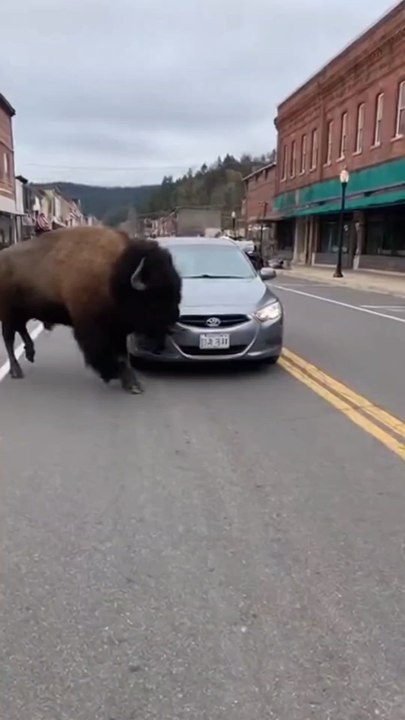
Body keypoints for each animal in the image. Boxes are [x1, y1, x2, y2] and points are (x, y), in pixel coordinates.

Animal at [0, 225, 182, 393]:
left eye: (177, 293)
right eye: (155, 298)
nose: (172, 326)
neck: (114, 274)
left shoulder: (118, 329)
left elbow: (123, 355)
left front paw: (132, 383)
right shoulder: (93, 326)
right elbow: (103, 351)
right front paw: (111, 373)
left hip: (22, 312)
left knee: (20, 329)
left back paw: (30, 354)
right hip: (8, 313)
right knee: (9, 339)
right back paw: (16, 370)